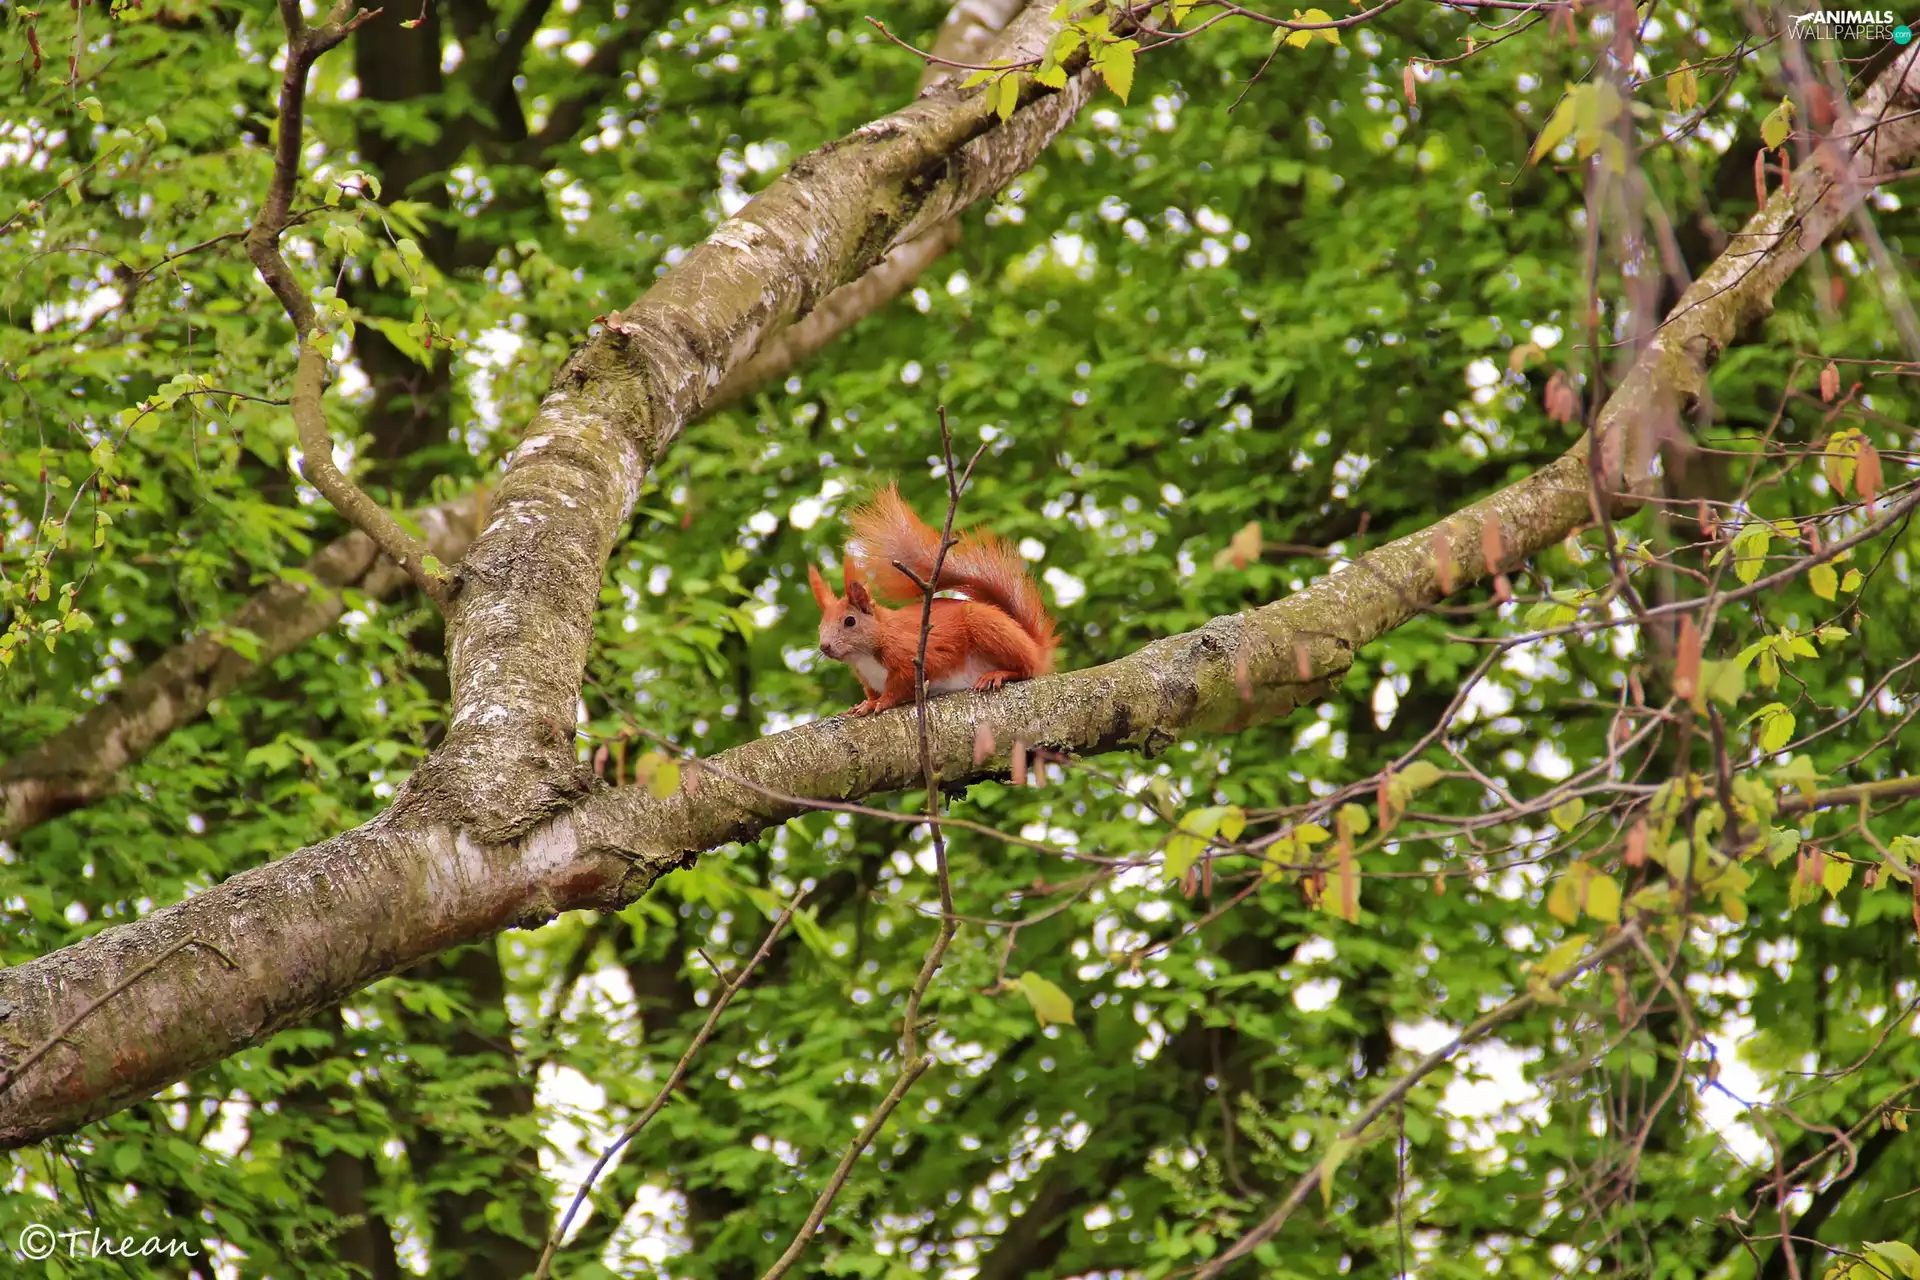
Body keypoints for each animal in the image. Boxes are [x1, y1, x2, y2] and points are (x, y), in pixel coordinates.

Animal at [807, 483, 1058, 717]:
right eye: (819, 626)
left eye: (850, 621)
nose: (824, 646)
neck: (866, 654)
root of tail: (1036, 648)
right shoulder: (868, 680)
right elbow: (872, 692)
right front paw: (865, 703)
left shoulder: (913, 657)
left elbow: (900, 687)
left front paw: (880, 702)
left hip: (988, 626)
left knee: (1027, 669)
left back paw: (997, 674)